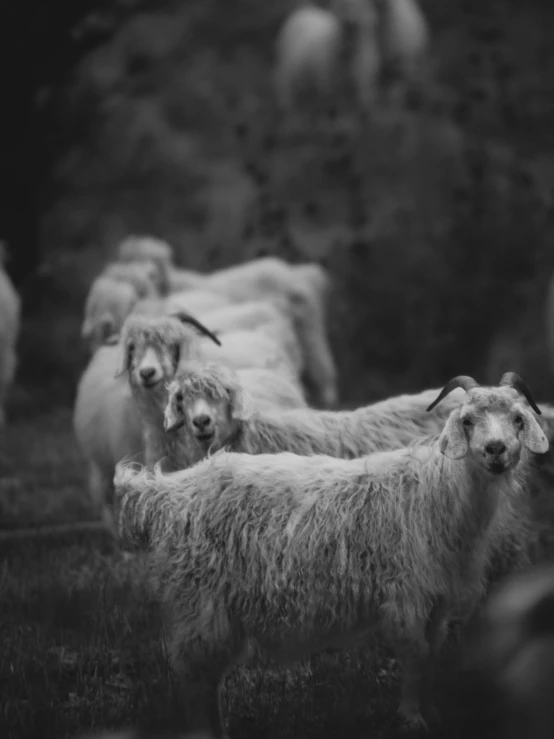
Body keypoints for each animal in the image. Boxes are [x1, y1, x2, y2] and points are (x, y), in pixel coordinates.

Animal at [114, 372, 544, 736]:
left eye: (518, 419)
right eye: (467, 421)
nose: (495, 450)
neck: (437, 492)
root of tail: (165, 492)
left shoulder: (438, 599)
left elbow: (433, 655)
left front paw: (433, 713)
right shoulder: (406, 593)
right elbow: (415, 654)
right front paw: (411, 718)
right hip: (199, 598)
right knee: (194, 674)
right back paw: (207, 731)